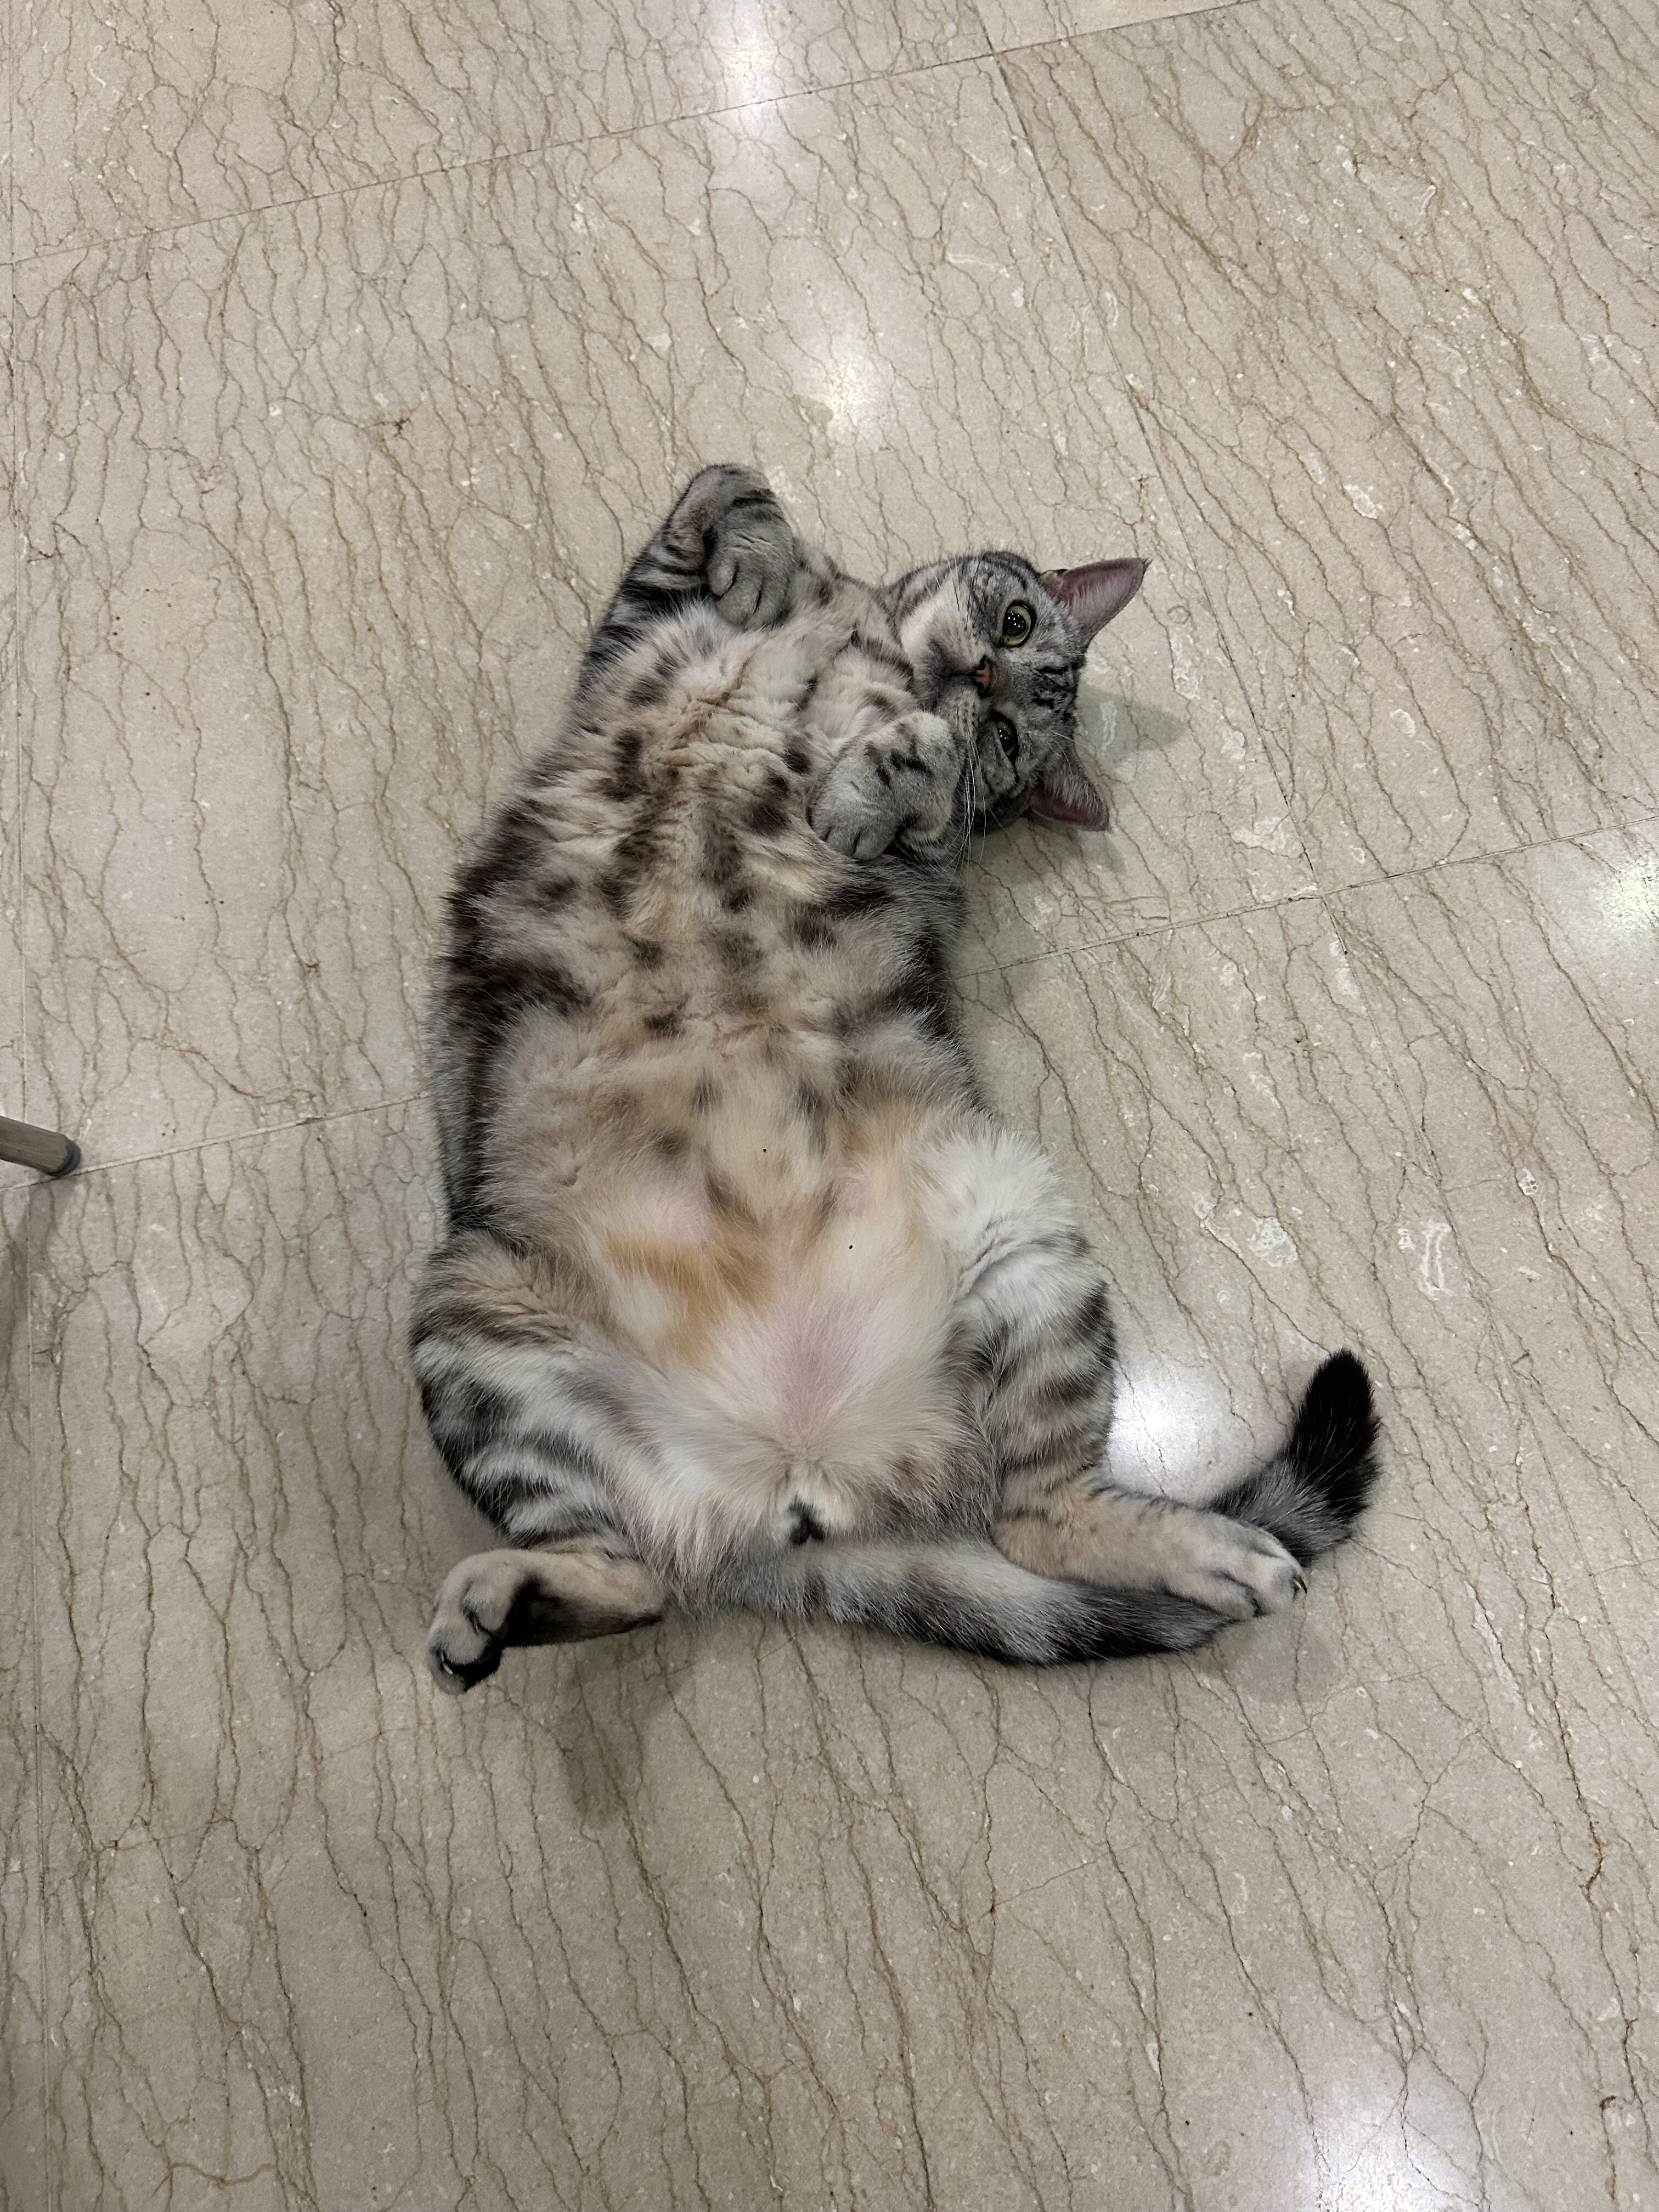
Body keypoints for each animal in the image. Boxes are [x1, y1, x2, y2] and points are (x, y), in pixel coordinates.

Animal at [412, 464, 1379, 1690]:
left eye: (1011, 729)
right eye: (1011, 625)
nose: (978, 678)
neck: (867, 645)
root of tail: (795, 1482)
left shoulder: (927, 852)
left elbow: (917, 767)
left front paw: (878, 763)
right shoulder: (637, 621)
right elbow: (727, 484)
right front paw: (763, 565)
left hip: (1018, 1232)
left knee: (1033, 1515)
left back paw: (1214, 1550)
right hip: (475, 1316)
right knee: (630, 1580)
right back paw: (505, 1600)